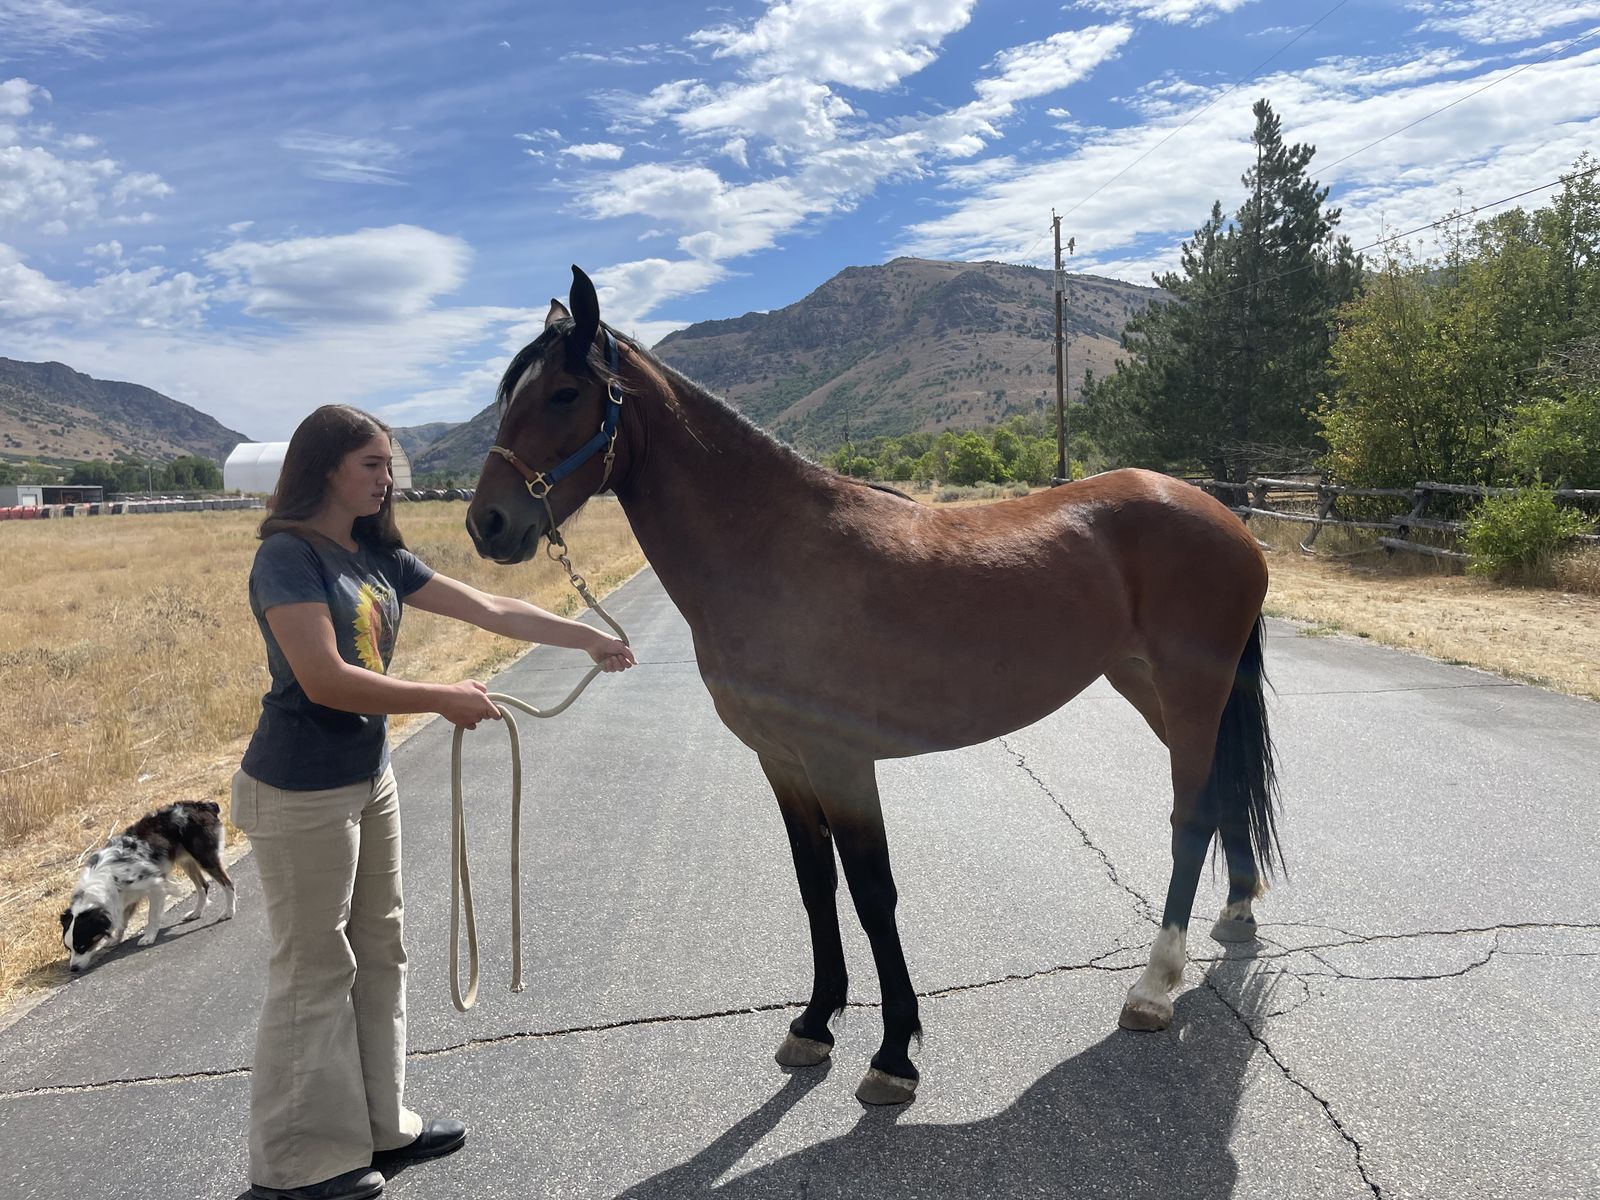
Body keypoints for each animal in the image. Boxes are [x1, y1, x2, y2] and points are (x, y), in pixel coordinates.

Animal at [60, 800, 237, 972]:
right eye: (69, 949)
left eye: (82, 946)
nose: (73, 969)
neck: (105, 882)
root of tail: (202, 805)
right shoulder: (125, 898)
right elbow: (122, 921)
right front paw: (116, 939)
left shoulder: (156, 886)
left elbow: (152, 916)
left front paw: (149, 936)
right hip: (186, 861)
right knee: (203, 886)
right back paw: (196, 913)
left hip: (204, 858)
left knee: (228, 884)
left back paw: (228, 912)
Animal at [466, 266, 1282, 1106]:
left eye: (563, 393)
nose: (486, 523)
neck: (773, 549)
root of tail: (1225, 516)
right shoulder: (783, 761)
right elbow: (815, 886)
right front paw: (815, 1022)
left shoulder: (843, 762)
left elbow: (871, 893)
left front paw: (894, 1053)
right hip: (1153, 688)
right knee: (1222, 789)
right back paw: (1236, 908)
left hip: (1190, 688)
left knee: (1190, 816)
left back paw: (1154, 985)